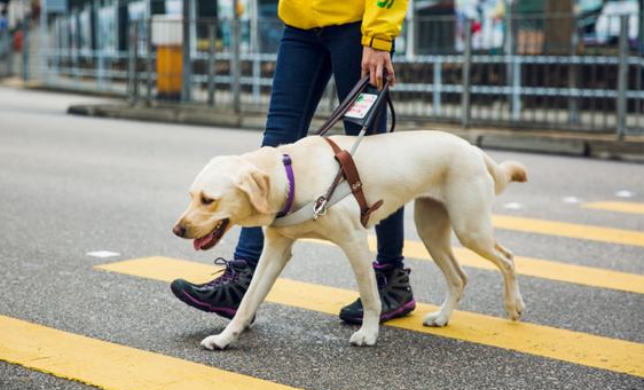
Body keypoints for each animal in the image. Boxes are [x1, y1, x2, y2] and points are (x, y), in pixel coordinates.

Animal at [174, 131, 524, 350]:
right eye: (191, 196)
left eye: (208, 200)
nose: (177, 230)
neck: (292, 176)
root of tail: (472, 148)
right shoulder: (275, 251)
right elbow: (247, 302)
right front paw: (225, 338)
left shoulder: (355, 241)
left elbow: (370, 296)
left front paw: (368, 333)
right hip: (431, 231)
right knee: (459, 277)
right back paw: (442, 317)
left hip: (470, 228)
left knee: (507, 258)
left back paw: (514, 305)